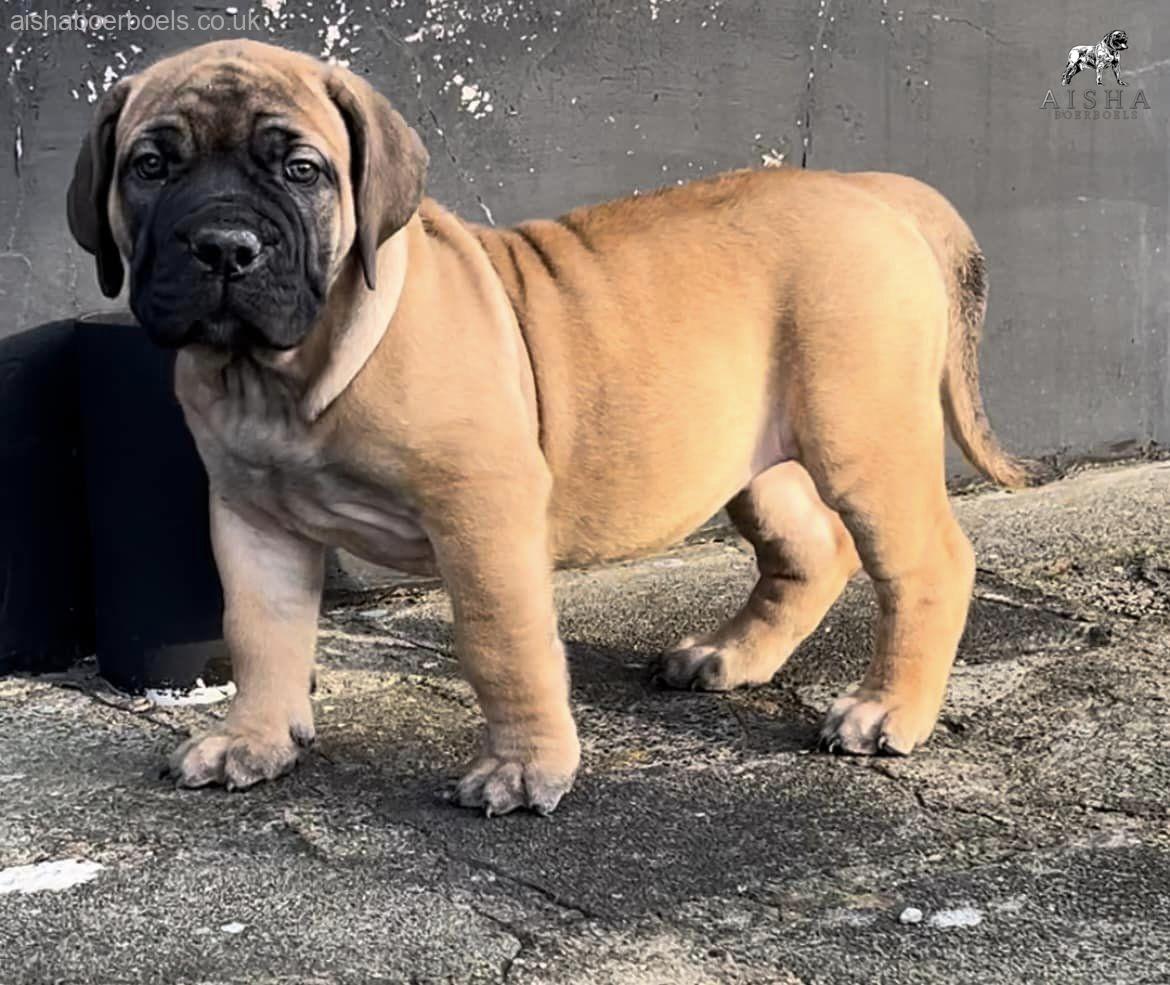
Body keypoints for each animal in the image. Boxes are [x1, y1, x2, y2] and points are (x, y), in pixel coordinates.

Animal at [68, 38, 1029, 814]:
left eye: (301, 170)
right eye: (150, 166)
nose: (224, 246)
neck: (284, 375)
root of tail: (871, 188)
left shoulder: (482, 511)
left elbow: (502, 643)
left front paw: (525, 770)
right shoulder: (252, 518)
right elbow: (260, 633)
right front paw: (254, 740)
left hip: (861, 437)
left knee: (927, 562)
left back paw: (888, 709)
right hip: (755, 457)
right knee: (811, 548)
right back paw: (729, 656)